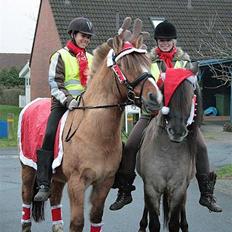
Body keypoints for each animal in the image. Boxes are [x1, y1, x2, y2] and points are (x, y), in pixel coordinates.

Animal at [20, 17, 162, 232]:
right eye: (127, 64)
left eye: (147, 62)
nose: (156, 98)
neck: (96, 133)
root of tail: (31, 104)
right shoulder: (77, 183)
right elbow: (77, 222)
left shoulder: (104, 182)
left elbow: (96, 217)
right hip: (28, 171)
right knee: (26, 207)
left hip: (57, 178)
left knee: (55, 204)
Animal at [137, 66, 202, 231]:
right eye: (166, 93)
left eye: (190, 95)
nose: (177, 132)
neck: (168, 151)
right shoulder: (151, 188)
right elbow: (154, 223)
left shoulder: (179, 189)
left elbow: (174, 223)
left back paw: (185, 225)